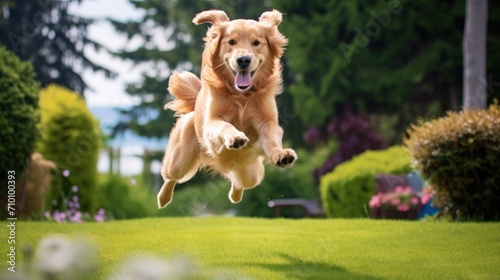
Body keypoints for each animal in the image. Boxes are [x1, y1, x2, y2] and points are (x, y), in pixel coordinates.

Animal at [157, 8, 296, 208]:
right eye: (231, 42)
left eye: (256, 42)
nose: (243, 60)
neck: (241, 95)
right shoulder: (212, 122)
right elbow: (224, 125)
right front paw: (235, 137)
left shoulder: (266, 121)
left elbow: (272, 139)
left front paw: (281, 154)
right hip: (179, 159)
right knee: (171, 176)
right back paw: (163, 198)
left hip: (251, 172)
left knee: (240, 182)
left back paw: (235, 196)